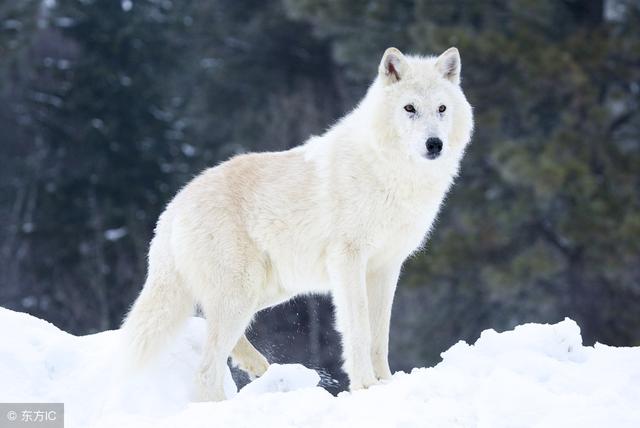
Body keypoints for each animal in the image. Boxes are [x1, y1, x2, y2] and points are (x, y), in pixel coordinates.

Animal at [121, 46, 470, 402]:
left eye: (441, 108)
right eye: (409, 108)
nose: (434, 144)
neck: (392, 174)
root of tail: (174, 206)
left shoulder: (386, 267)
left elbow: (379, 336)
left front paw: (386, 382)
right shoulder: (348, 260)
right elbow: (359, 329)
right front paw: (365, 386)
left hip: (268, 292)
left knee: (208, 325)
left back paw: (257, 365)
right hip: (242, 294)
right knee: (205, 371)